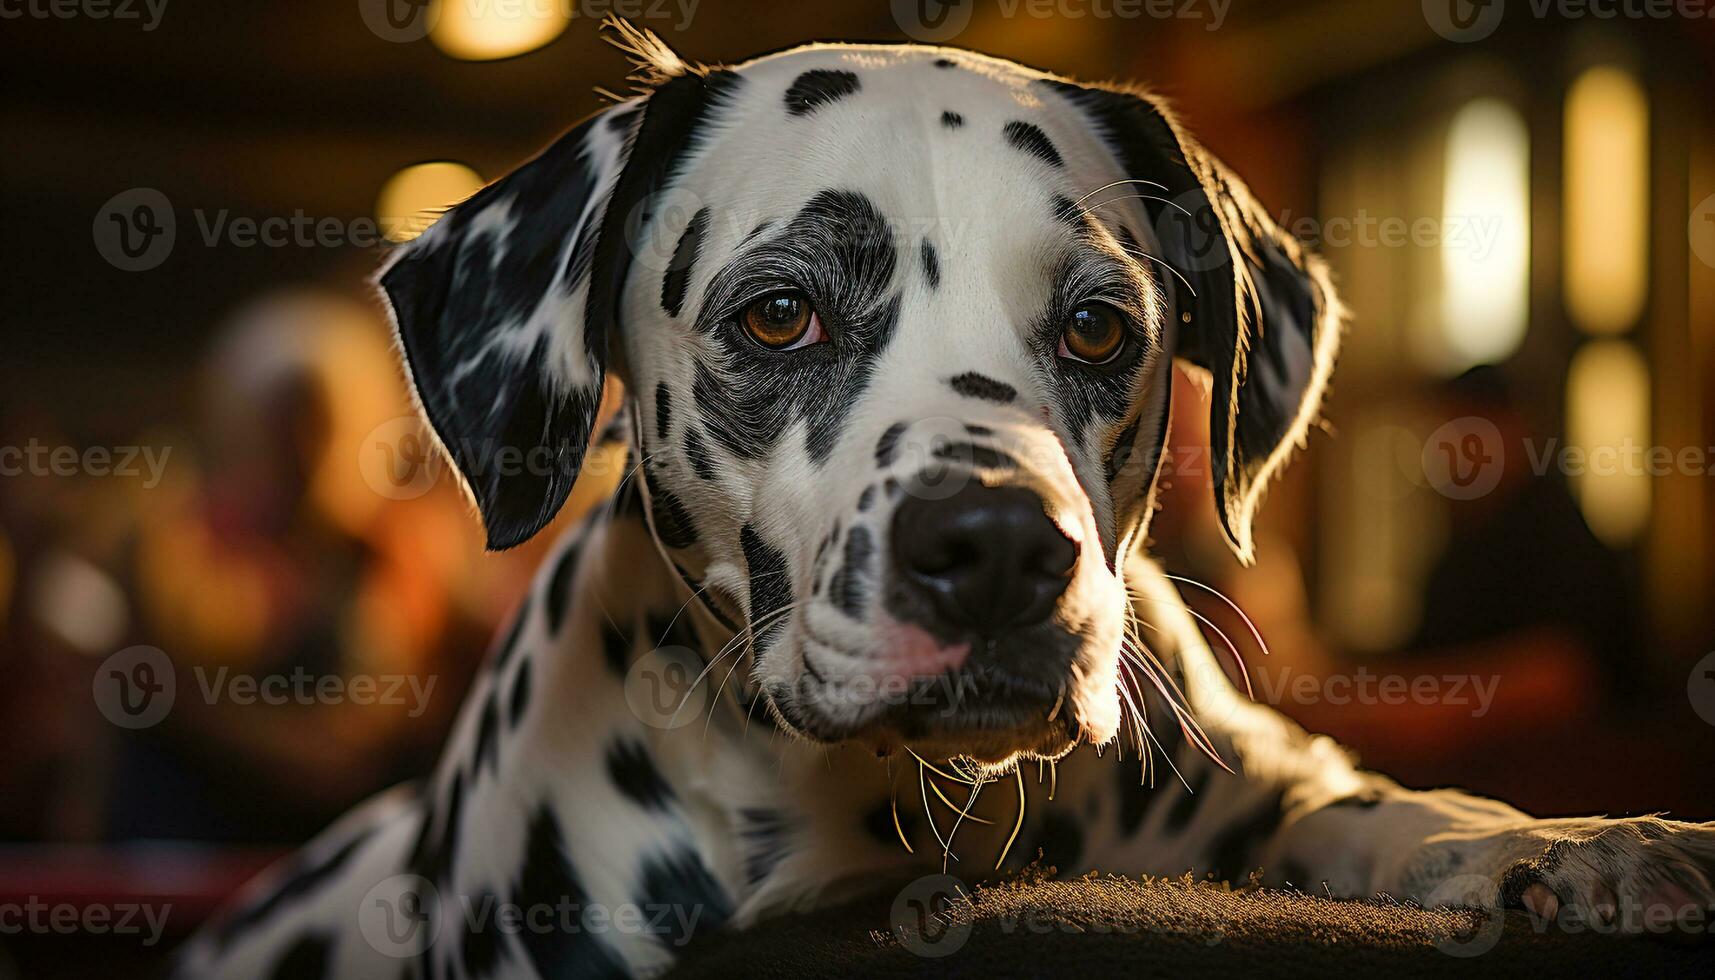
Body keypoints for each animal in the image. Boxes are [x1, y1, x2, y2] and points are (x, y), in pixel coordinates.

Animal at [174, 22, 1715, 980]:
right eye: (779, 313)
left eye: (1098, 326)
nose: (993, 550)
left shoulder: (1268, 795)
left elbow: (1384, 813)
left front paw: (1569, 845)